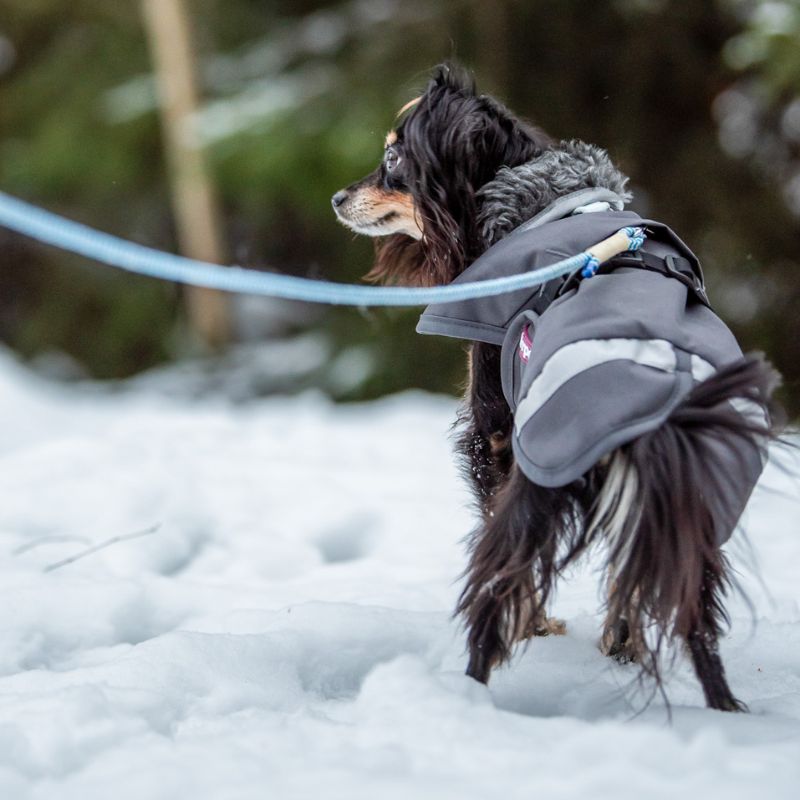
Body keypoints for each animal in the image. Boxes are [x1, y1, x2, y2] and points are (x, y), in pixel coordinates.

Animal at [332, 64, 780, 712]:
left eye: (394, 158)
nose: (338, 198)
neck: (536, 206)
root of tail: (658, 413)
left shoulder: (493, 435)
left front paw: (538, 629)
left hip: (536, 486)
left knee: (495, 592)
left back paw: (465, 698)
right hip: (691, 512)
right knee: (686, 614)